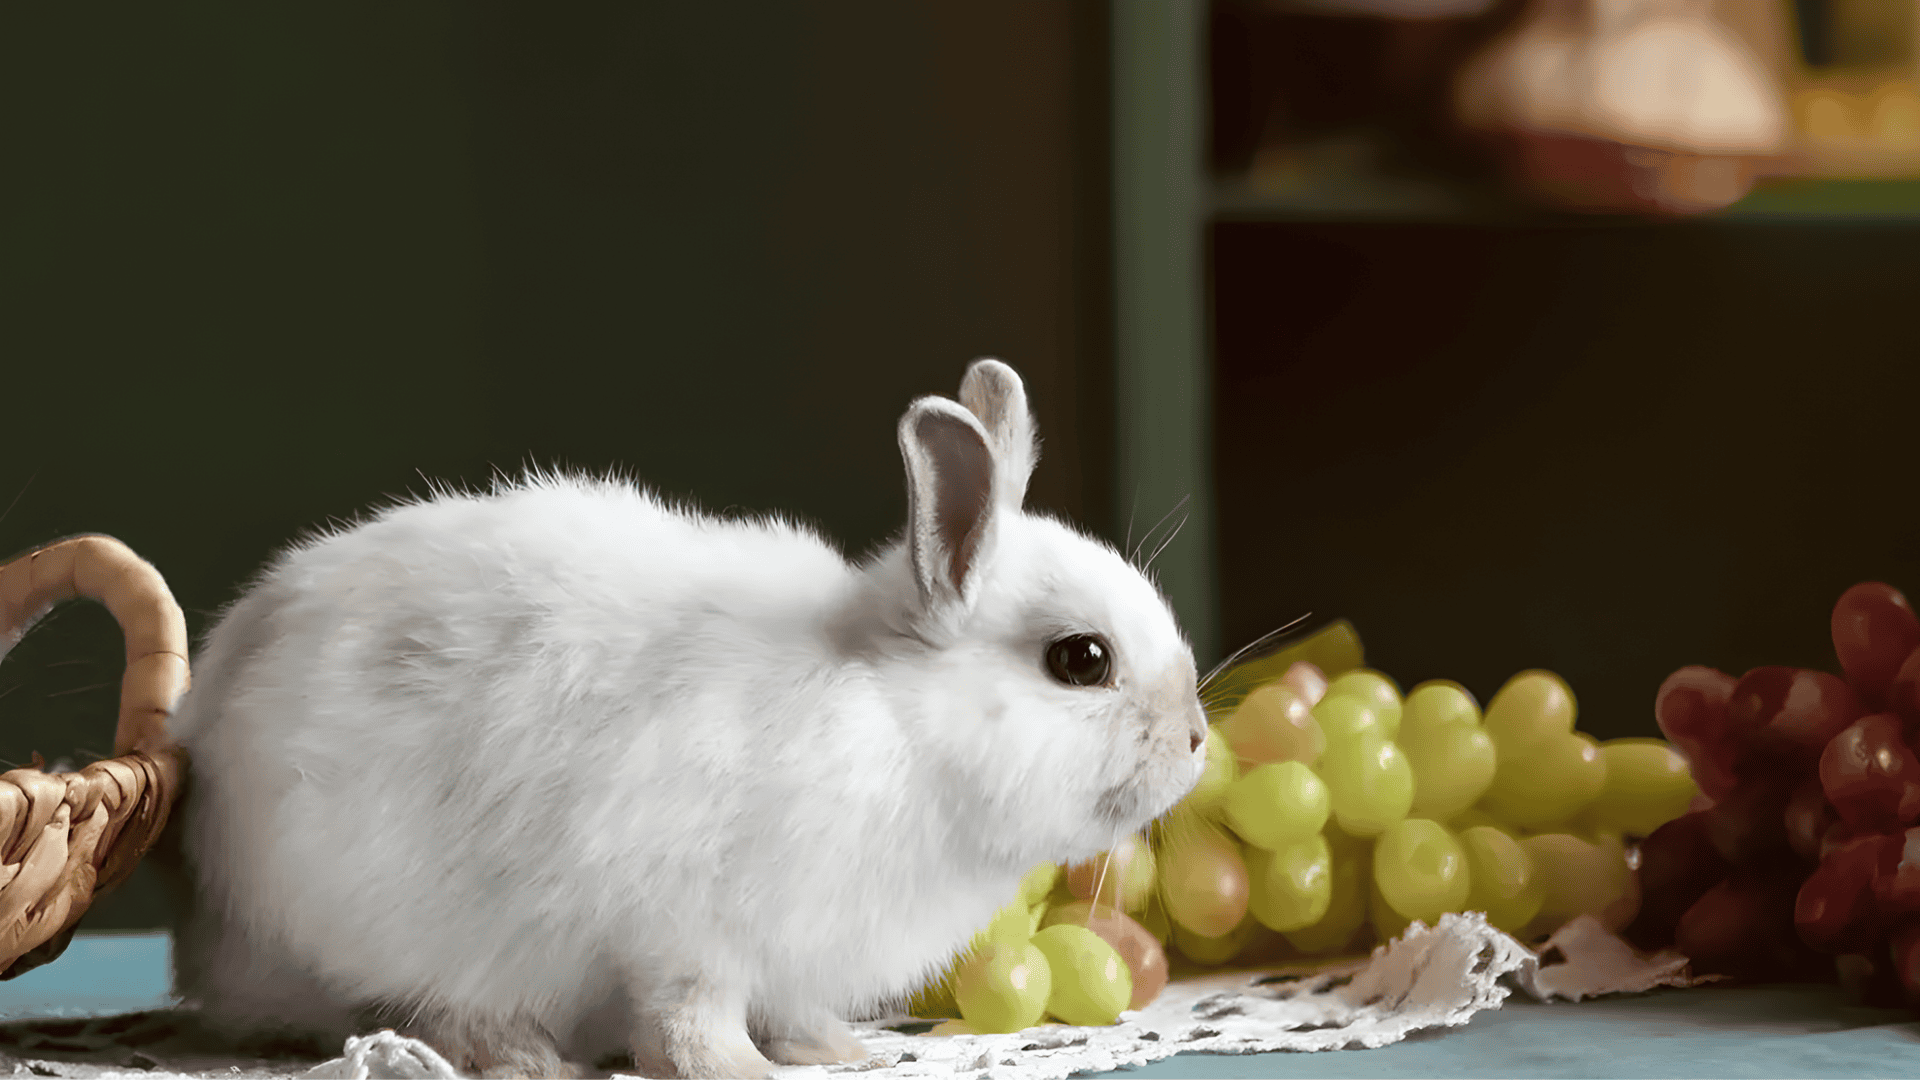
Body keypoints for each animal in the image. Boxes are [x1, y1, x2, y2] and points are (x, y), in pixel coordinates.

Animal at [166, 359, 1209, 1079]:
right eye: (1081, 660)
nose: (1198, 741)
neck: (903, 727)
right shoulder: (685, 937)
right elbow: (687, 1023)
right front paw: (740, 1072)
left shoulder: (791, 960)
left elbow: (792, 1014)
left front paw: (843, 1051)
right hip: (389, 919)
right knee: (418, 1007)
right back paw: (526, 1056)